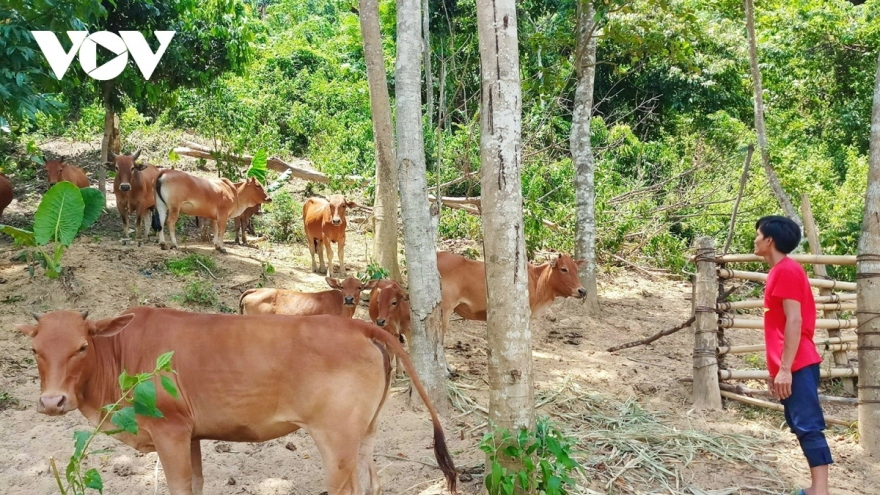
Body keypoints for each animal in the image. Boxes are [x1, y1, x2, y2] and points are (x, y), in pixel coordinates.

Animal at [17, 308, 458, 494]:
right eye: (36, 349)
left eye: (81, 347)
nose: (52, 401)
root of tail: (360, 326)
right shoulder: (190, 433)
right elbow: (196, 483)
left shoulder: (169, 430)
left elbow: (179, 486)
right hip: (365, 433)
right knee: (372, 484)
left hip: (336, 440)